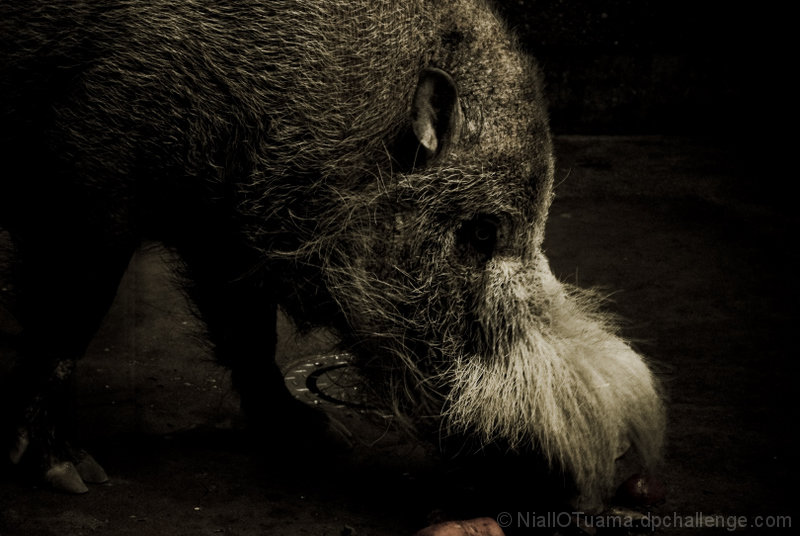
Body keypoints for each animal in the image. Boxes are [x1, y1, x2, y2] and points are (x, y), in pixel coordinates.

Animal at [0, 0, 665, 509]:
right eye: (481, 233)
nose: (612, 461)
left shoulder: (222, 234)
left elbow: (249, 334)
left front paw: (318, 432)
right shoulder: (86, 177)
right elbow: (69, 320)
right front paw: (72, 476)